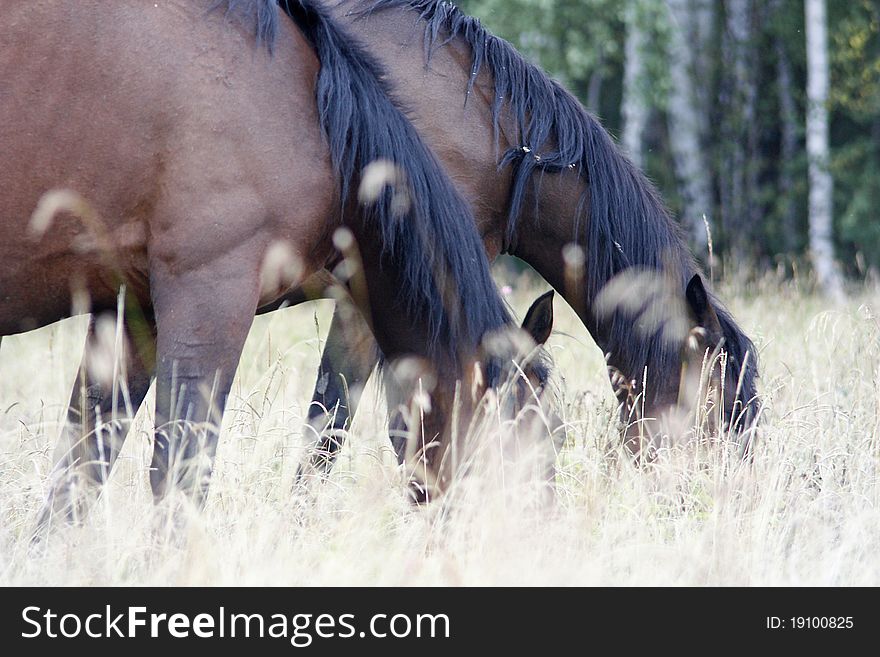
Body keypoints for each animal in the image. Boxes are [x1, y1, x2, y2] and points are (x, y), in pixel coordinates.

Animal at [1, 0, 552, 532]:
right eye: (521, 433)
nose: (529, 532)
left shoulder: (131, 308)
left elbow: (81, 466)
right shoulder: (210, 293)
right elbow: (183, 473)